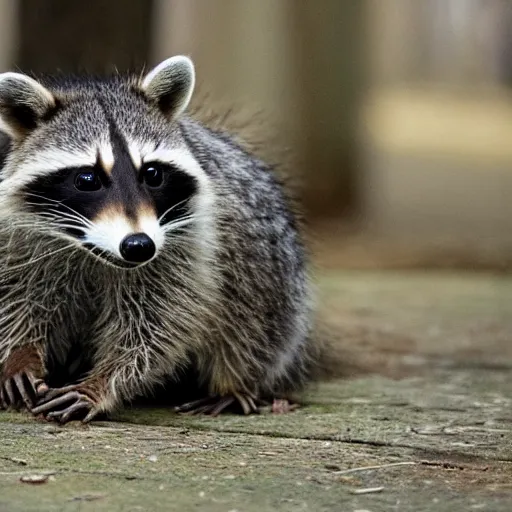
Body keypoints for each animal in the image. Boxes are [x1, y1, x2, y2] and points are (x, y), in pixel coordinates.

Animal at [0, 56, 318, 424]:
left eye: (152, 174)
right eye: (87, 179)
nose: (139, 246)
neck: (95, 252)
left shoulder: (187, 246)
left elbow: (158, 326)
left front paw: (101, 384)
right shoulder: (20, 238)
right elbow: (20, 298)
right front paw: (20, 354)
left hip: (272, 272)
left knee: (252, 322)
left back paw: (233, 384)